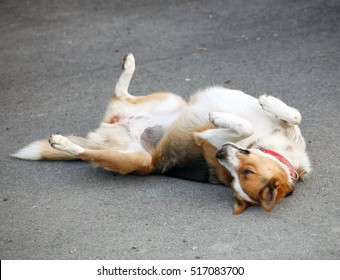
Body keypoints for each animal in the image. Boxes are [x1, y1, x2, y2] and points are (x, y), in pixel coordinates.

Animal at [12, 53, 310, 214]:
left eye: (243, 175)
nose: (220, 153)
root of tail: (107, 131)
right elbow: (295, 114)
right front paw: (269, 103)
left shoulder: (209, 138)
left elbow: (246, 125)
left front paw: (220, 117)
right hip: (171, 100)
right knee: (120, 93)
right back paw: (129, 64)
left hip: (131, 160)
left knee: (87, 152)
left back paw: (64, 143)